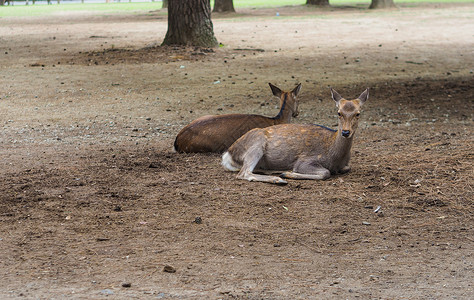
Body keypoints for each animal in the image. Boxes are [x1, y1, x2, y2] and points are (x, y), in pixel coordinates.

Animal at [222, 88, 370, 184]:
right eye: (339, 112)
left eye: (358, 113)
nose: (345, 132)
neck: (336, 156)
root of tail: (228, 154)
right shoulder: (305, 160)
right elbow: (325, 173)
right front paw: (289, 173)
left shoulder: (345, 165)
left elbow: (347, 167)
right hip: (256, 145)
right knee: (244, 172)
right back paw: (279, 179)